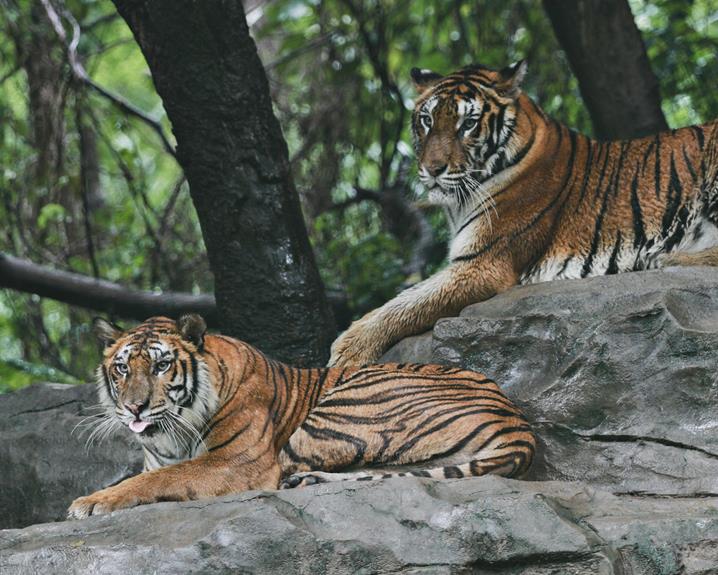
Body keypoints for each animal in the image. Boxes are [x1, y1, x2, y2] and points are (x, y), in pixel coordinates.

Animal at [67, 316, 536, 520]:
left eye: (162, 366)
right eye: (122, 368)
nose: (134, 407)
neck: (169, 435)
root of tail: (519, 424)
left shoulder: (238, 463)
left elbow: (161, 479)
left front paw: (89, 503)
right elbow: (148, 474)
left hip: (337, 410)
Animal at [330, 60, 718, 366]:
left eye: (467, 125)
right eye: (427, 120)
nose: (433, 169)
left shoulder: (482, 263)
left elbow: (405, 304)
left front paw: (345, 351)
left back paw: (665, 258)